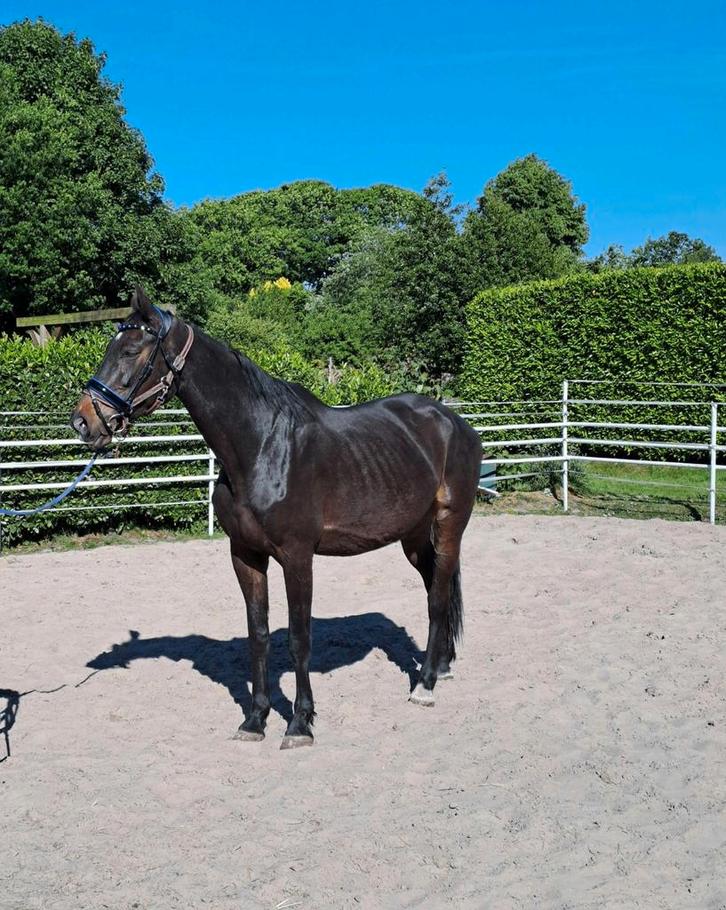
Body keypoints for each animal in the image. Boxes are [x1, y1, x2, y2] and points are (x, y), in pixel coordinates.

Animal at [71, 288, 482, 749]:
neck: (261, 446)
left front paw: (300, 723)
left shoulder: (298, 557)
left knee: (438, 595)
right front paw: (255, 719)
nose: (83, 422)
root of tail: (453, 421)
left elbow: (299, 639)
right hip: (412, 536)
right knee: (435, 587)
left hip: (449, 525)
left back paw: (425, 685)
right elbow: (260, 635)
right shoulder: (245, 555)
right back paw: (442, 666)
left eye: (129, 350)